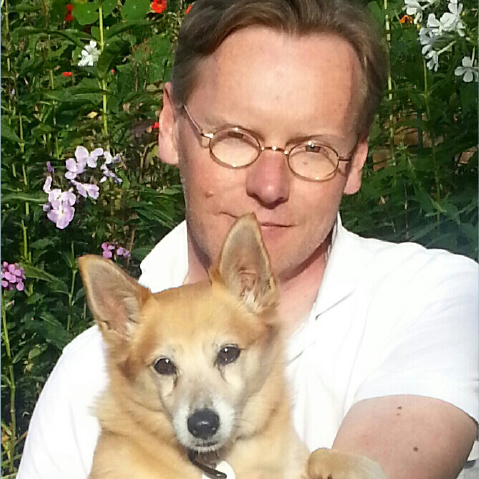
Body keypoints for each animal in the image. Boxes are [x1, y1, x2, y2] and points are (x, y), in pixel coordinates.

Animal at [79, 214, 387, 479]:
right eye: (163, 365)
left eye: (228, 353)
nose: (203, 425)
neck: (217, 459)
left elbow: (317, 455)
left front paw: (357, 467)